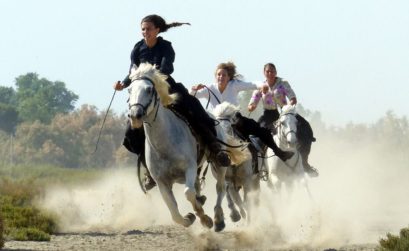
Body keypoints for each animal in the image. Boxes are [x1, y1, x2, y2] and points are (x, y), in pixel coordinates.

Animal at [127, 62, 236, 231]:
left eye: (149, 89)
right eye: (130, 90)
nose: (135, 115)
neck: (165, 145)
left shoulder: (189, 168)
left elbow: (188, 194)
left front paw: (205, 218)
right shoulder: (161, 182)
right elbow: (174, 211)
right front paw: (190, 218)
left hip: (218, 165)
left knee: (221, 187)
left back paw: (218, 220)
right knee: (200, 187)